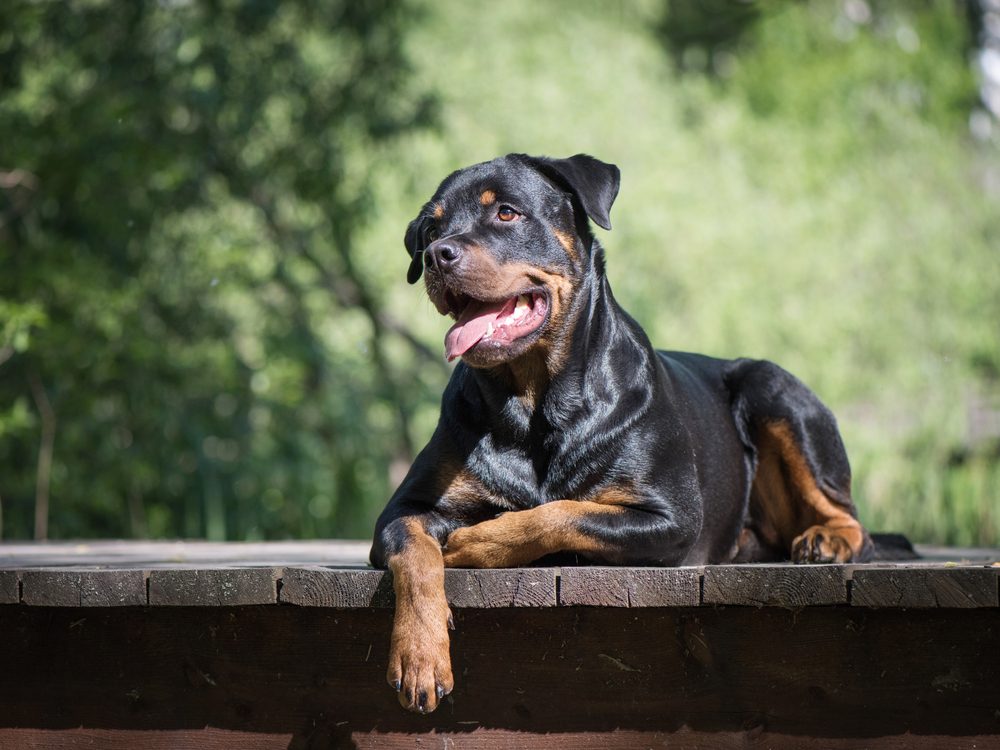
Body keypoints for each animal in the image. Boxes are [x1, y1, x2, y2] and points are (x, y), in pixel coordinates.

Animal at [370, 154, 876, 716]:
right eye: (431, 228)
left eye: (506, 212)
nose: (438, 254)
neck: (534, 403)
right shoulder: (403, 509)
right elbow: (415, 557)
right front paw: (420, 656)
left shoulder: (670, 517)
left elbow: (560, 513)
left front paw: (475, 541)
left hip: (773, 388)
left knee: (850, 515)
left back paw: (829, 540)